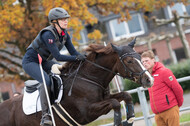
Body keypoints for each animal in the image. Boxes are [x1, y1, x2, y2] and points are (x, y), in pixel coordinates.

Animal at [0, 39, 153, 126]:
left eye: (140, 57)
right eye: (129, 61)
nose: (149, 80)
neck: (88, 78)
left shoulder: (105, 98)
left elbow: (126, 96)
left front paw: (130, 118)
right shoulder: (87, 111)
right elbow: (115, 103)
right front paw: (117, 121)